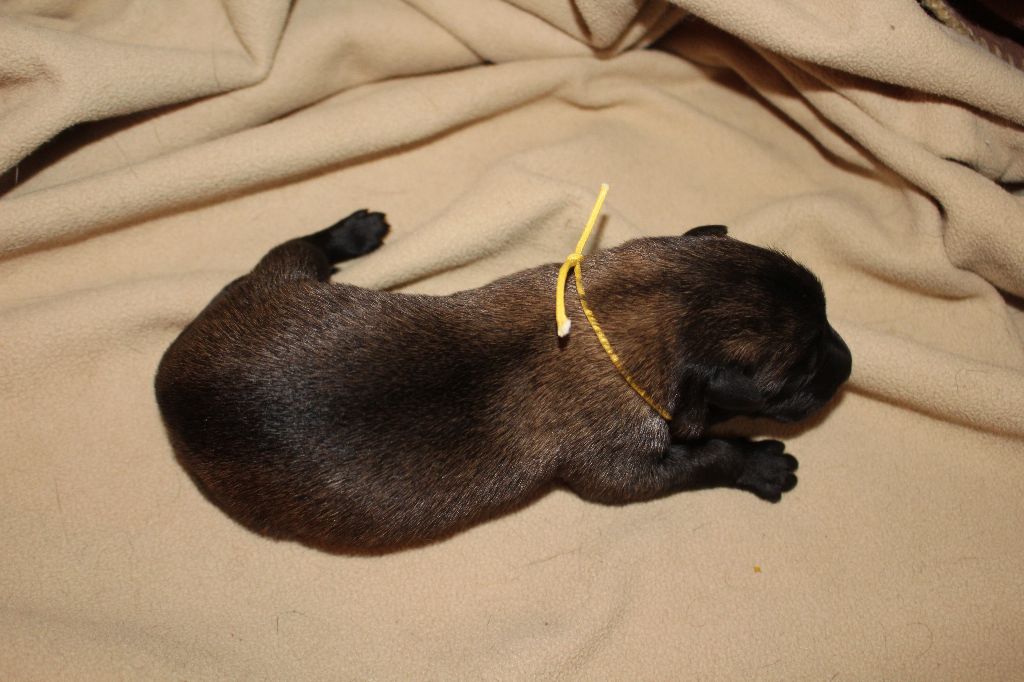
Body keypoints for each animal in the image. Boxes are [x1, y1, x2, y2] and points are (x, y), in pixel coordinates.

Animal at [155, 209, 851, 551]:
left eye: (827, 312)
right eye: (792, 380)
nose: (847, 365)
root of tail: (167, 377)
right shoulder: (620, 470)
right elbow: (704, 457)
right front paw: (756, 463)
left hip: (278, 284)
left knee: (296, 248)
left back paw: (352, 231)